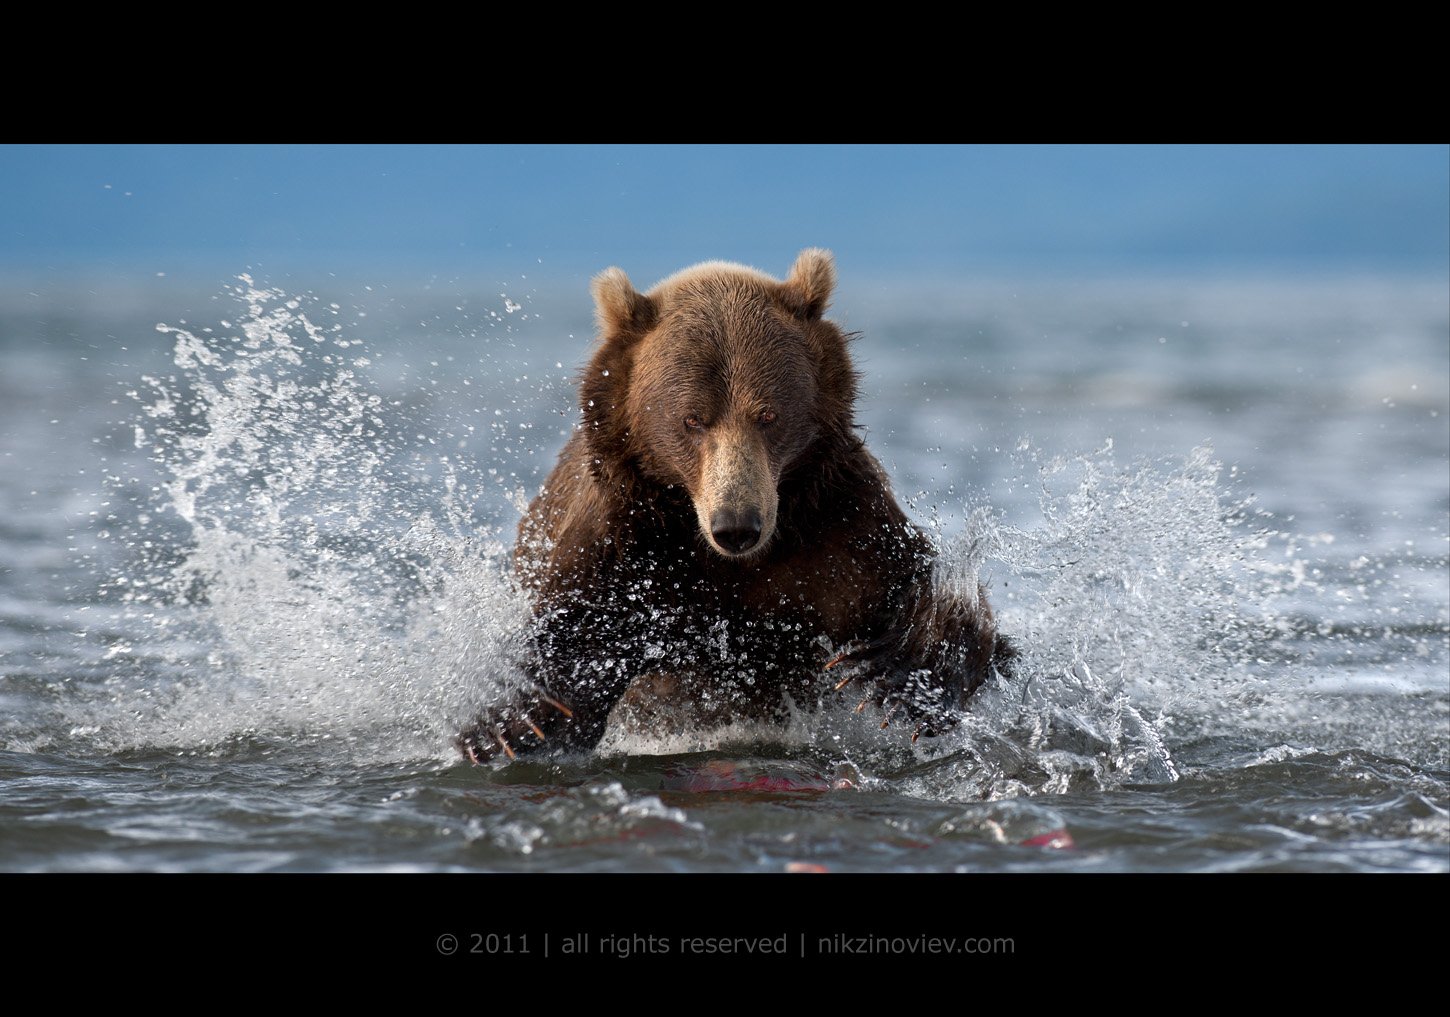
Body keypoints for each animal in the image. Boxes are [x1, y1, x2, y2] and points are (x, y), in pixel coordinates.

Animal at [458, 248, 1015, 760]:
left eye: (767, 414)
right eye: (692, 419)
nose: (736, 525)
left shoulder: (839, 529)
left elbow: (942, 599)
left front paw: (897, 667)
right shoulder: (622, 543)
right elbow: (575, 641)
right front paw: (514, 721)